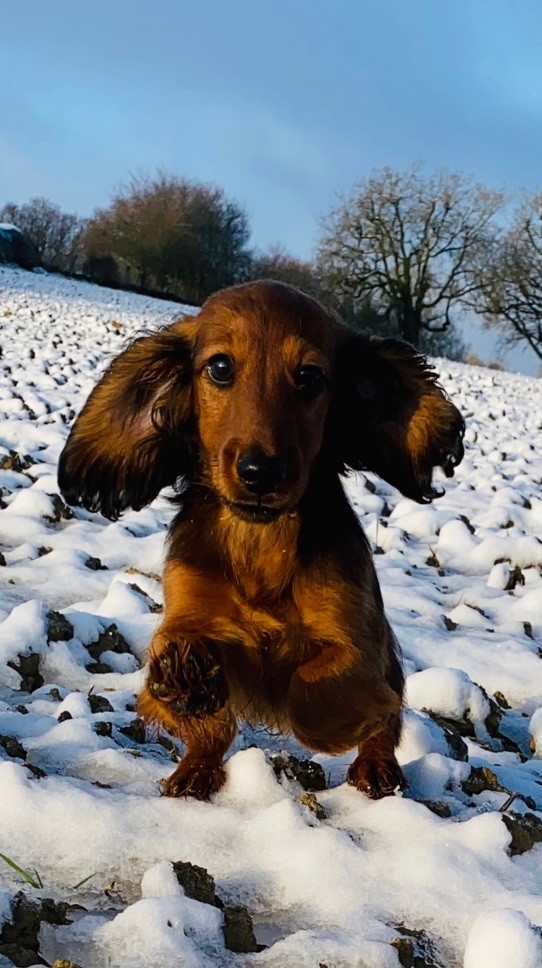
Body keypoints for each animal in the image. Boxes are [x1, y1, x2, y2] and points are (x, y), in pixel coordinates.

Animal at [59, 280, 468, 800]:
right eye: (220, 367)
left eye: (310, 376)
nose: (261, 472)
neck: (260, 537)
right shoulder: (195, 607)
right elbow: (179, 652)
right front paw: (183, 674)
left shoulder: (356, 638)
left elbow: (316, 688)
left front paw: (337, 726)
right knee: (210, 738)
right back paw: (194, 769)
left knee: (386, 722)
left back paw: (375, 765)